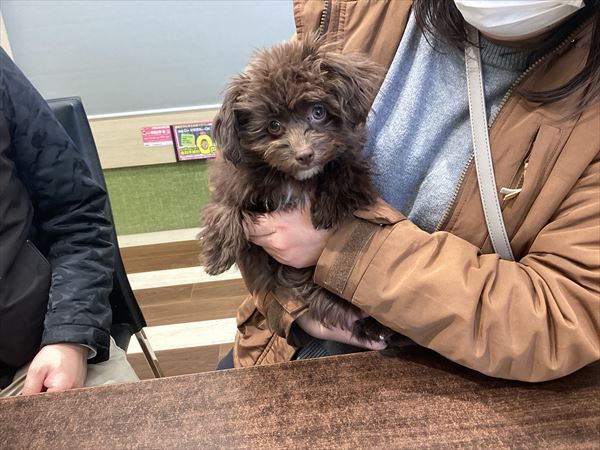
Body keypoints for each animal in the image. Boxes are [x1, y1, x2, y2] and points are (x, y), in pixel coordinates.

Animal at [199, 34, 397, 345]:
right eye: (273, 125)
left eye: (318, 111)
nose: (304, 155)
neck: (295, 179)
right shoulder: (234, 177)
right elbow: (225, 204)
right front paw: (216, 254)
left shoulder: (353, 163)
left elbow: (344, 171)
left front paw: (327, 210)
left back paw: (374, 326)